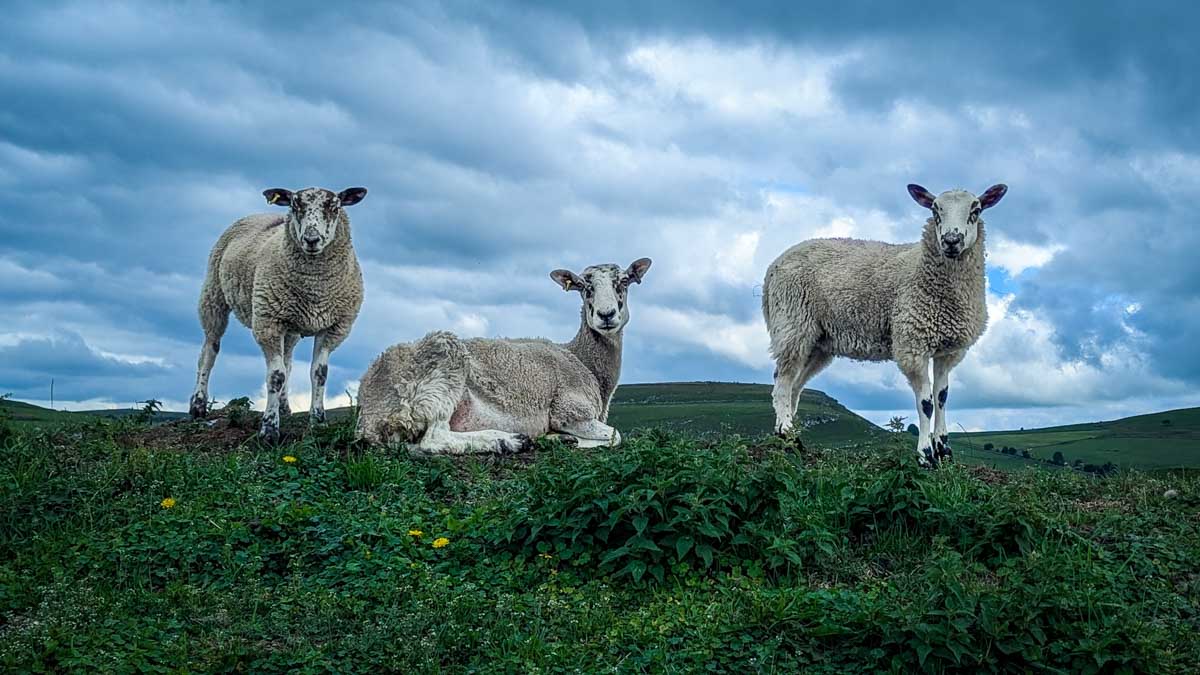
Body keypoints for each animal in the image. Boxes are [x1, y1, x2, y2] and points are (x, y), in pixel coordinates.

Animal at [188, 186, 369, 443]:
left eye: (335, 207)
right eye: (294, 205)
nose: (311, 240)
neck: (315, 290)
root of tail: (259, 214)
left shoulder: (333, 328)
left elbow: (319, 374)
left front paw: (317, 422)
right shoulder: (268, 323)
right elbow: (276, 375)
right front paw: (269, 430)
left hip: (290, 325)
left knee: (288, 360)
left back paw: (284, 406)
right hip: (213, 296)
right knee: (209, 351)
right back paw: (198, 405)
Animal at [356, 258, 652, 455]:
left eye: (623, 282)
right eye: (583, 287)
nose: (606, 315)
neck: (583, 360)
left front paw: (556, 439)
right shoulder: (568, 412)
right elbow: (616, 436)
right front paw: (564, 439)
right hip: (441, 371)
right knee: (433, 439)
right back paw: (508, 440)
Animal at [761, 183, 1007, 466]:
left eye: (975, 210)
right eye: (935, 210)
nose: (951, 241)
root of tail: (773, 266)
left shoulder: (949, 350)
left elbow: (942, 398)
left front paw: (944, 450)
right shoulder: (912, 343)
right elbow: (926, 403)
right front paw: (925, 455)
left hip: (818, 342)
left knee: (795, 385)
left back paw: (790, 438)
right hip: (793, 323)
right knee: (782, 381)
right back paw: (788, 437)